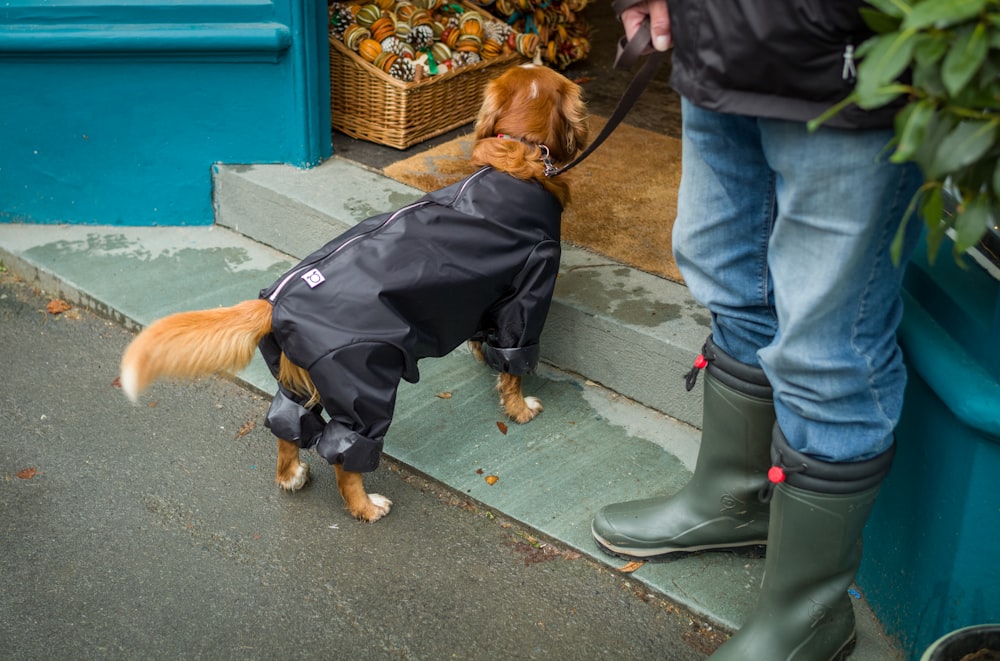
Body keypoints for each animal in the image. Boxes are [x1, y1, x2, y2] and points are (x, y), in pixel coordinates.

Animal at [119, 64, 584, 524]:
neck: (516, 155)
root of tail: (275, 303)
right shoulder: (530, 290)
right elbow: (514, 363)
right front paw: (520, 409)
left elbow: (485, 339)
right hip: (365, 386)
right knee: (345, 456)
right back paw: (367, 507)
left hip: (296, 382)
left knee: (288, 426)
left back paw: (291, 476)